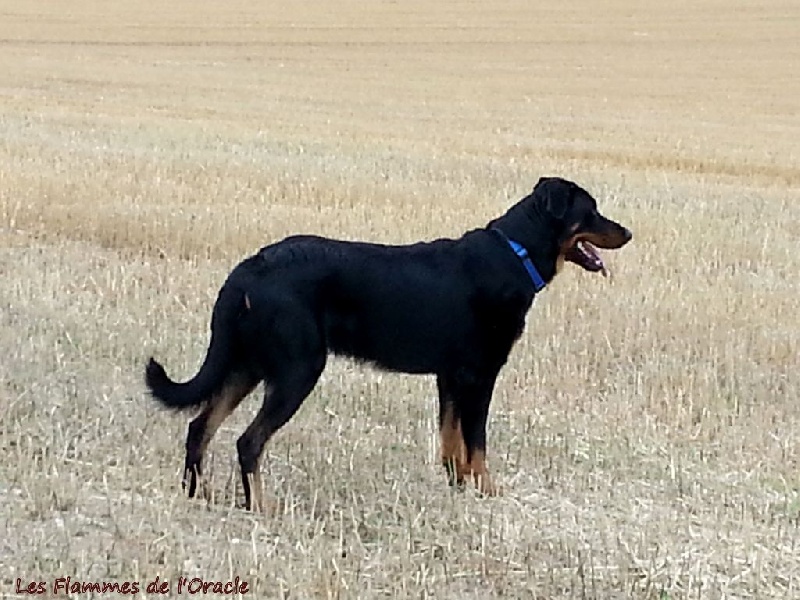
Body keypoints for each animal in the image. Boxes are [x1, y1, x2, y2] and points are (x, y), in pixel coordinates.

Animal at [144, 176, 632, 508]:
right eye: (590, 210)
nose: (628, 233)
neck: (518, 252)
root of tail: (249, 268)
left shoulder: (450, 376)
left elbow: (450, 440)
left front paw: (456, 487)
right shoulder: (479, 375)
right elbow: (476, 442)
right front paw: (487, 491)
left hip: (247, 365)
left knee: (200, 428)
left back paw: (197, 494)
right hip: (297, 369)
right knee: (249, 442)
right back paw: (260, 507)